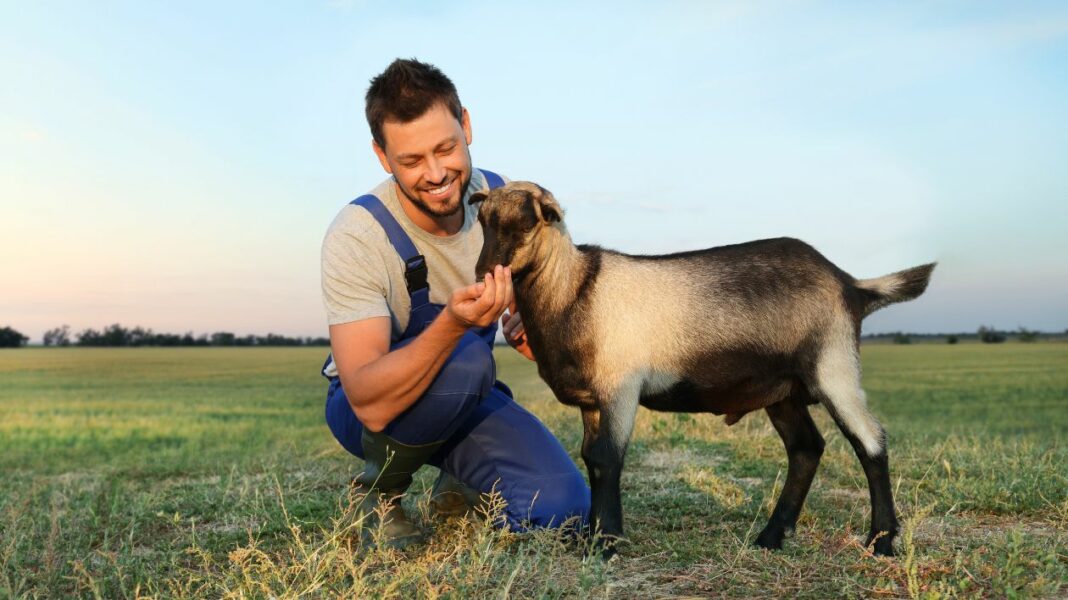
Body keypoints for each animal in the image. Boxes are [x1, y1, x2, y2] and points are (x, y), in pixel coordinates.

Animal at [469, 181, 935, 555]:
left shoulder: (620, 388)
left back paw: (882, 541)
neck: (575, 289)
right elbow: (591, 458)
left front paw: (606, 543)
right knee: (807, 448)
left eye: (528, 223)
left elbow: (606, 457)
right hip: (783, 390)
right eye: (483, 220)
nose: (484, 272)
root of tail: (849, 284)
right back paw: (772, 536)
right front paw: (593, 535)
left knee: (870, 440)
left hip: (833, 366)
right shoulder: (592, 400)